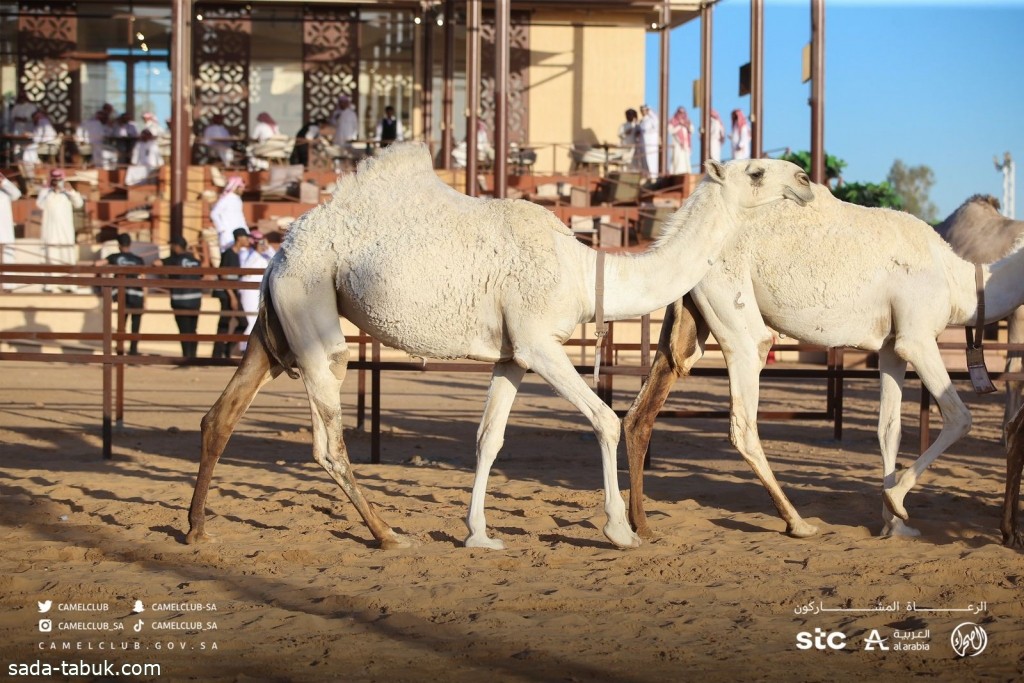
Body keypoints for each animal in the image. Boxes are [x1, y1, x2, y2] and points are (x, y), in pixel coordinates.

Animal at [180, 147, 811, 552]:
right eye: (757, 171)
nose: (805, 178)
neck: (584, 270)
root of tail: (281, 251)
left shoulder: (512, 355)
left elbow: (489, 439)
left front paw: (479, 534)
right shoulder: (538, 340)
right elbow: (605, 419)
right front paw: (620, 531)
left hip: (274, 324)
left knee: (221, 415)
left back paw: (196, 529)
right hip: (312, 312)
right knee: (328, 442)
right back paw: (387, 535)